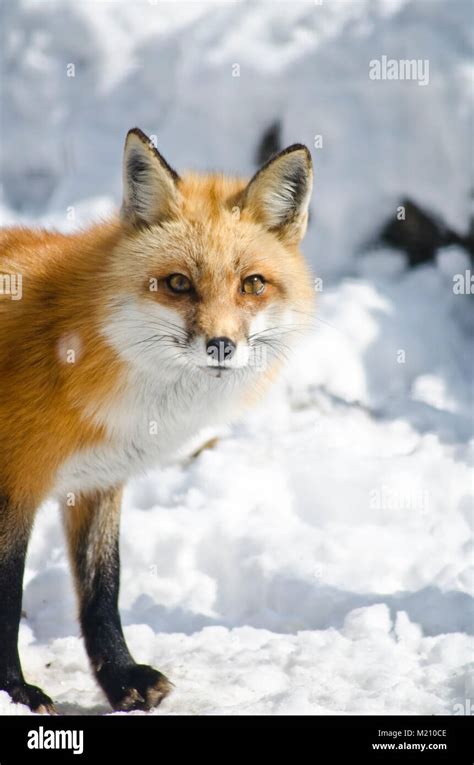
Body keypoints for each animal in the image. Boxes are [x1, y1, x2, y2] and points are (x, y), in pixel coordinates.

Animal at [0, 128, 314, 712]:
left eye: (252, 284)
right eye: (178, 283)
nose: (221, 345)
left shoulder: (97, 483)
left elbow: (104, 590)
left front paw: (121, 679)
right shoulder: (16, 483)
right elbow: (7, 597)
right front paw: (16, 691)